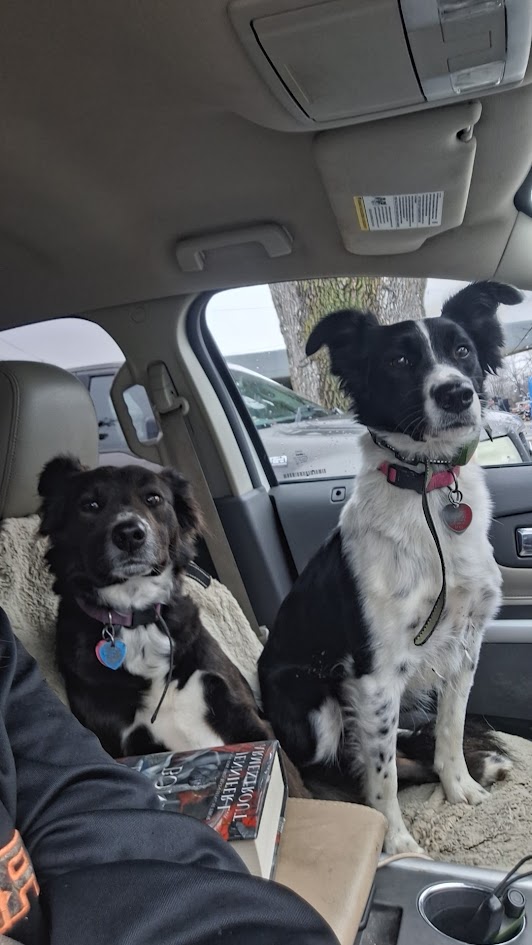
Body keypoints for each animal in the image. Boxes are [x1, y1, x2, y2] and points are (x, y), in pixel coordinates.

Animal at [258, 281, 521, 854]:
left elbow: (448, 729)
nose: (456, 394)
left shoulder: (465, 645)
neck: (430, 492)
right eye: (399, 361)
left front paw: (459, 785)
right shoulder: (375, 676)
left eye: (462, 350)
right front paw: (397, 843)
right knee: (344, 762)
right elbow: (380, 776)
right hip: (315, 703)